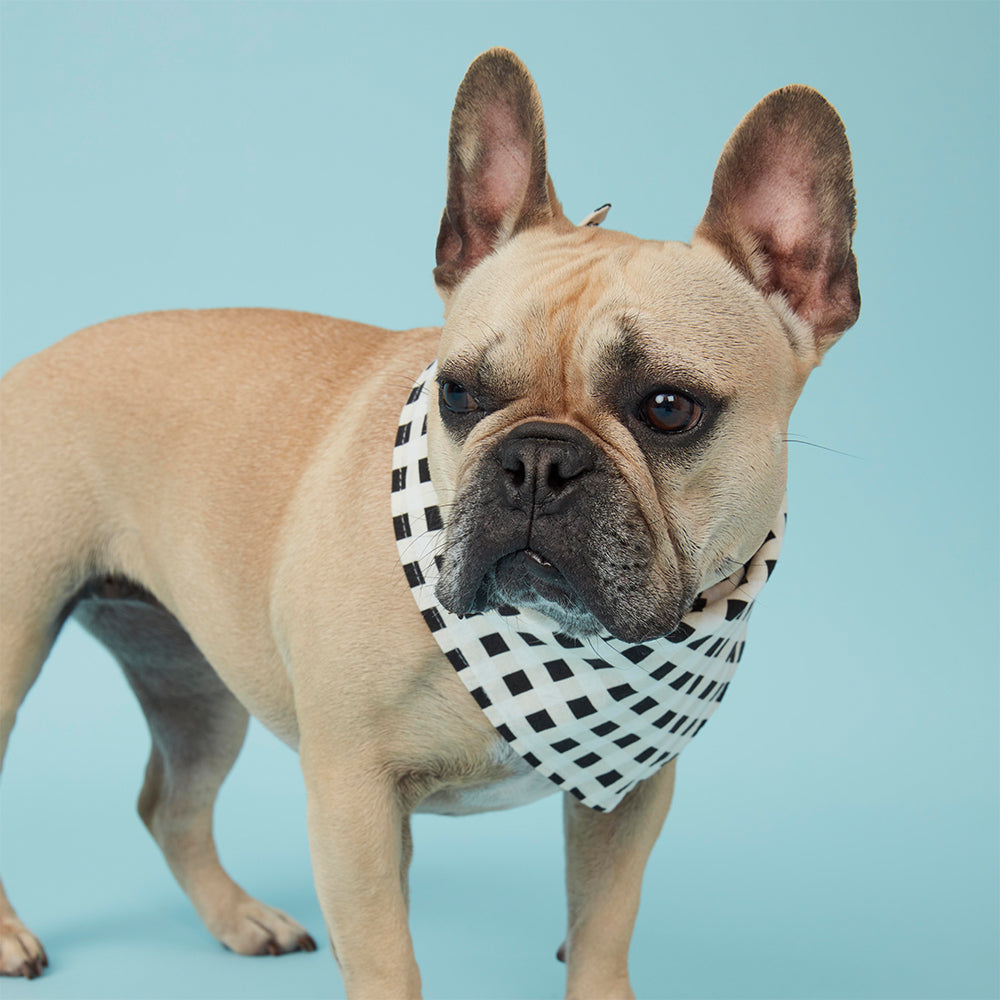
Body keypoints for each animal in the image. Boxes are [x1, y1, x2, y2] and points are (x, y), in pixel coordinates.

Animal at [0, 45, 860, 1000]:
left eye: (669, 408)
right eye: (458, 393)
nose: (537, 460)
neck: (540, 652)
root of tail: (31, 362)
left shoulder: (631, 794)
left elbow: (604, 927)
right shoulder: (354, 800)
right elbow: (387, 961)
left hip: (195, 679)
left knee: (171, 804)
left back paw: (240, 919)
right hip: (18, 641)